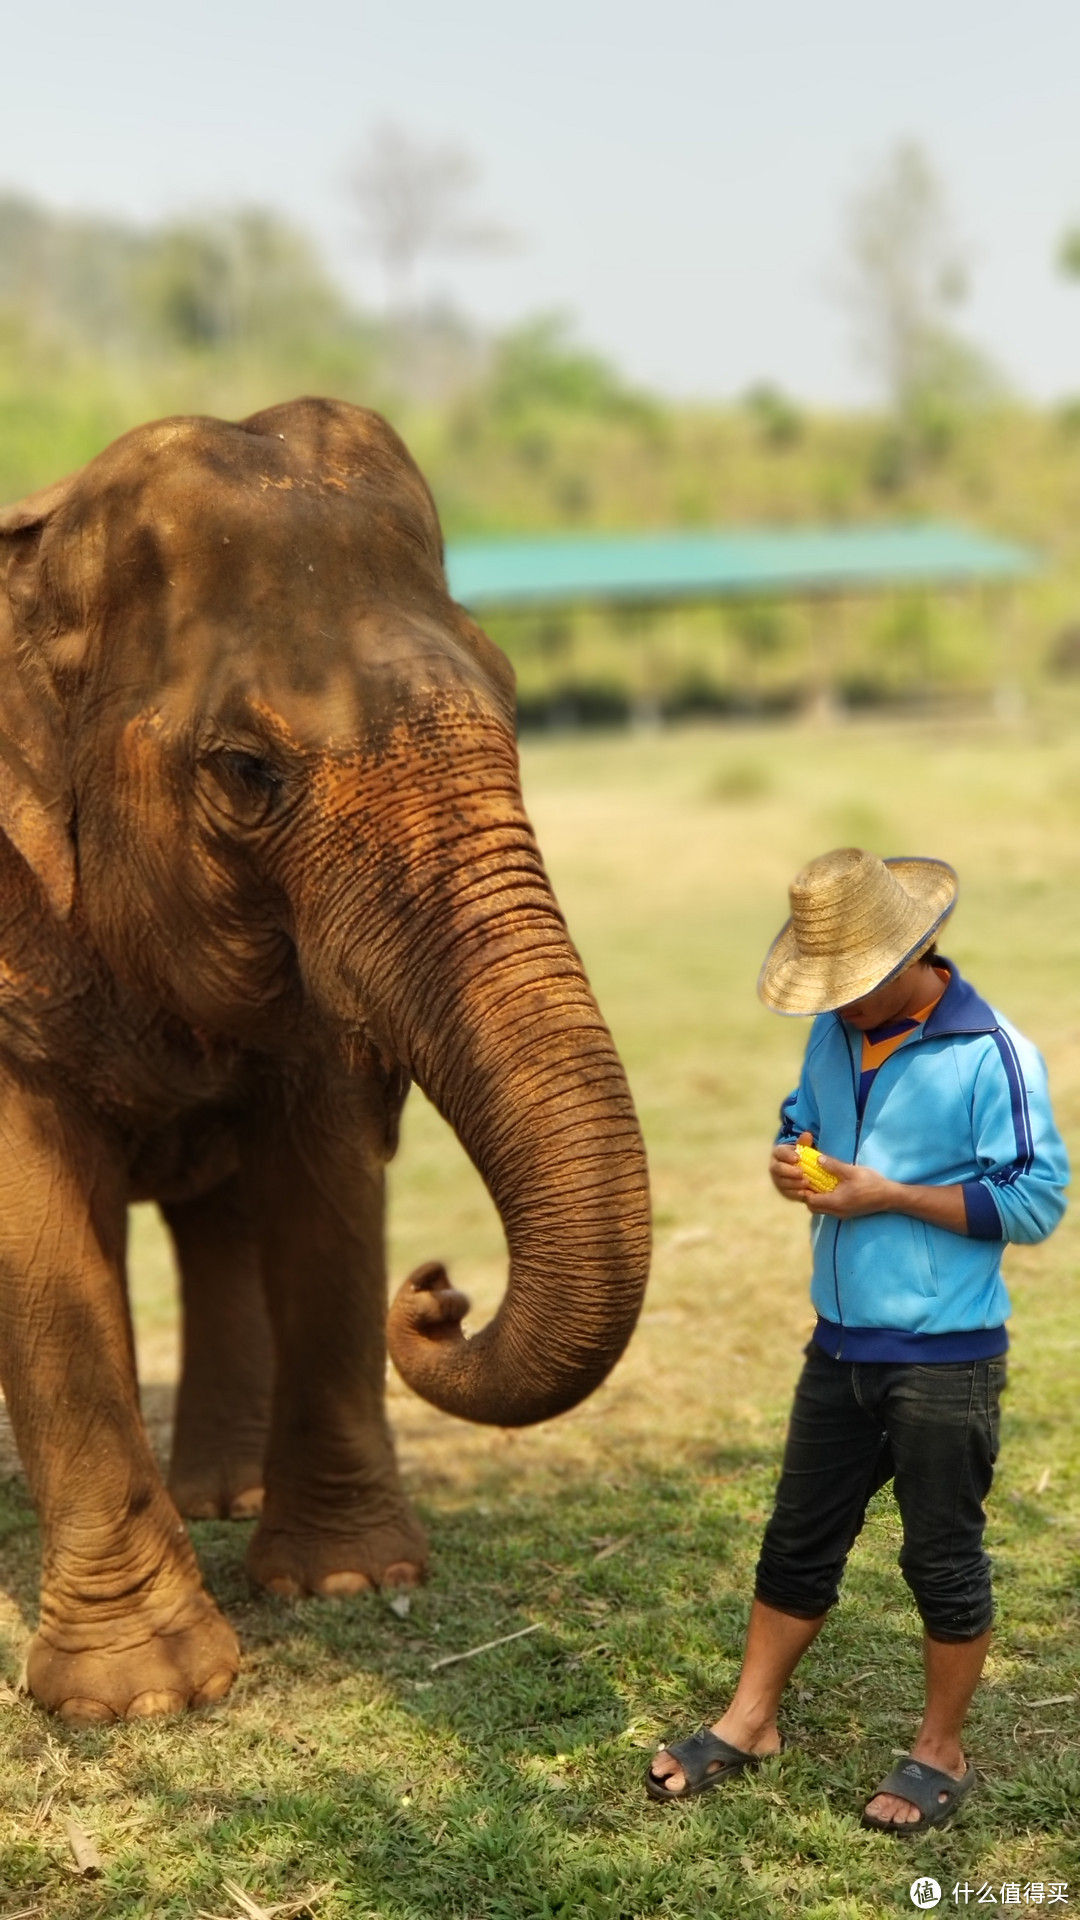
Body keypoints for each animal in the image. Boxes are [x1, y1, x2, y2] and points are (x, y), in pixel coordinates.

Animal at [0, 401, 645, 1728]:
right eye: (246, 770)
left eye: (514, 699)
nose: (441, 1293)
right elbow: (35, 1223)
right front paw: (141, 1703)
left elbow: (330, 1192)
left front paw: (347, 1585)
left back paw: (225, 1501)